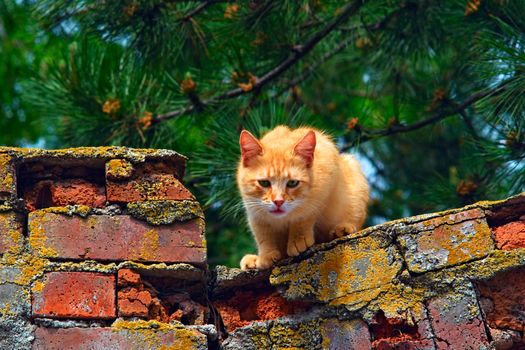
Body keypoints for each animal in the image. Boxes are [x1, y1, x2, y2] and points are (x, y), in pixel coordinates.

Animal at [237, 126, 368, 270]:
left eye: (292, 183)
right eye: (264, 183)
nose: (278, 201)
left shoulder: (324, 185)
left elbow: (304, 215)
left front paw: (298, 240)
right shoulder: (254, 210)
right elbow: (263, 233)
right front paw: (266, 254)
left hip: (353, 169)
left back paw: (342, 229)